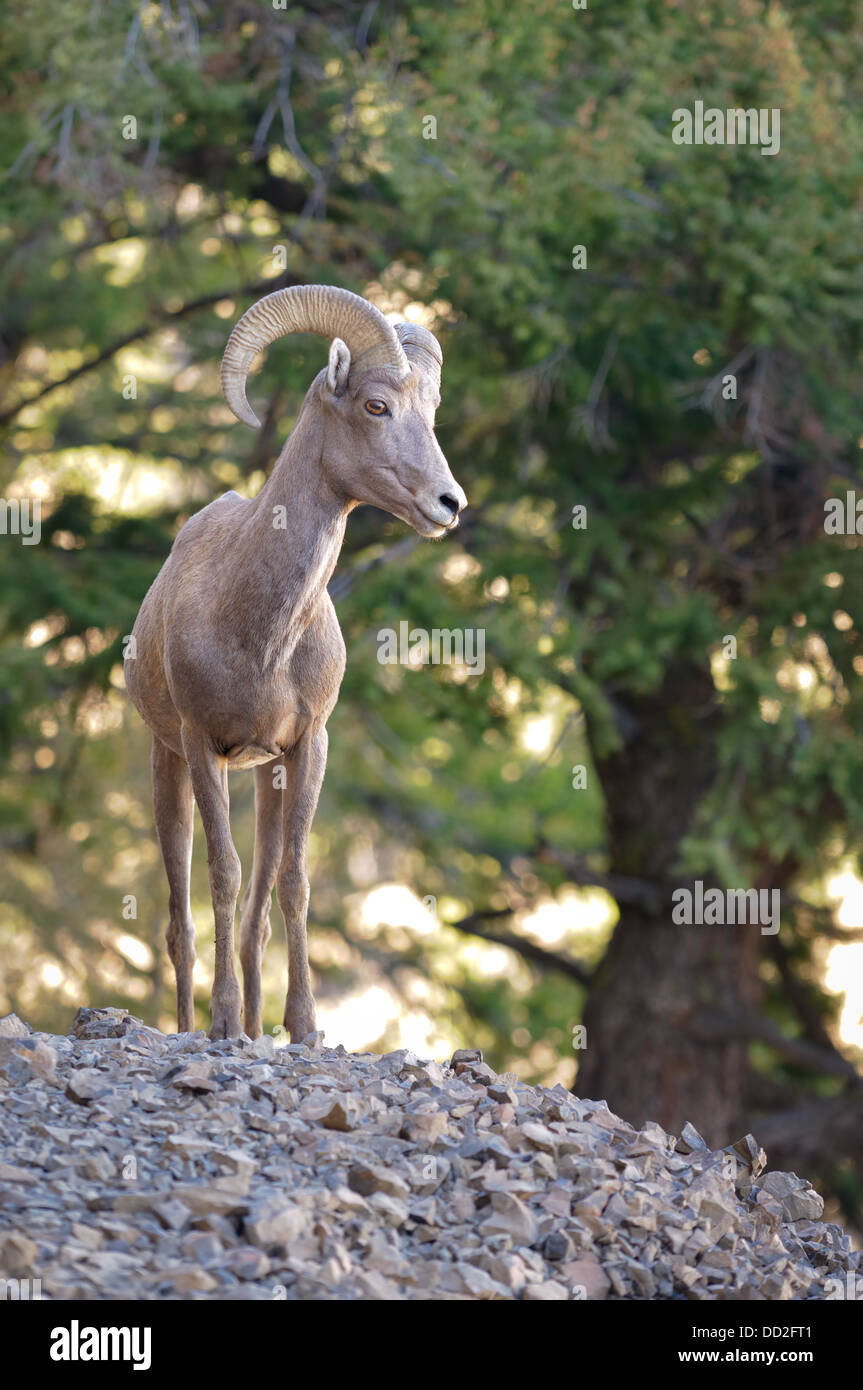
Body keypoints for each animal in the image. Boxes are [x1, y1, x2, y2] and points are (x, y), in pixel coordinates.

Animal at [122, 284, 464, 1034]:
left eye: (430, 412)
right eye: (375, 405)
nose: (448, 504)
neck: (263, 640)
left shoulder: (308, 746)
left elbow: (294, 883)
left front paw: (304, 1028)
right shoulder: (202, 745)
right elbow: (221, 874)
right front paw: (222, 1024)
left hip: (266, 778)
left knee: (256, 917)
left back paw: (258, 1031)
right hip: (167, 764)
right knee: (179, 921)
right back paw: (199, 1027)